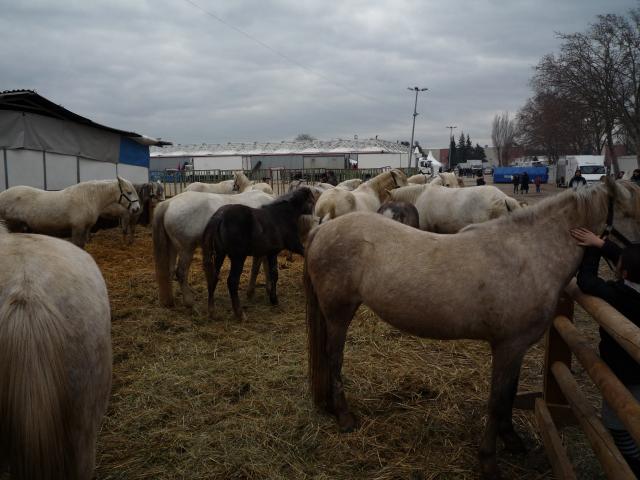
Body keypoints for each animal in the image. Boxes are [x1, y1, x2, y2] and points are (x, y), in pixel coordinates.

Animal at [0, 178, 140, 249]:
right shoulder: (78, 228)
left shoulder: (85, 229)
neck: (88, 198)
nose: (137, 209)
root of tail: (2, 194)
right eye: (128, 192)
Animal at [304, 178, 640, 478]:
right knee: (334, 359)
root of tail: (323, 227)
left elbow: (509, 395)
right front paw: (489, 461)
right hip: (339, 313)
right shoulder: (508, 347)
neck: (529, 254)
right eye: (634, 214)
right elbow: (497, 401)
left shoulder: (515, 348)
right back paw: (345, 417)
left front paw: (512, 440)